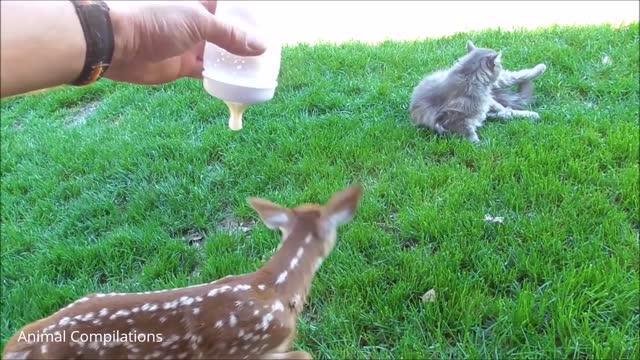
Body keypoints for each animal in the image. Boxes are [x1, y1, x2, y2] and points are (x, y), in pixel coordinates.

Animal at [410, 39, 544, 143]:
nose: (501, 67)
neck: (468, 79)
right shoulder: (454, 121)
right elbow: (471, 134)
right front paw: (480, 146)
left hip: (502, 81)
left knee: (516, 76)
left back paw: (541, 68)